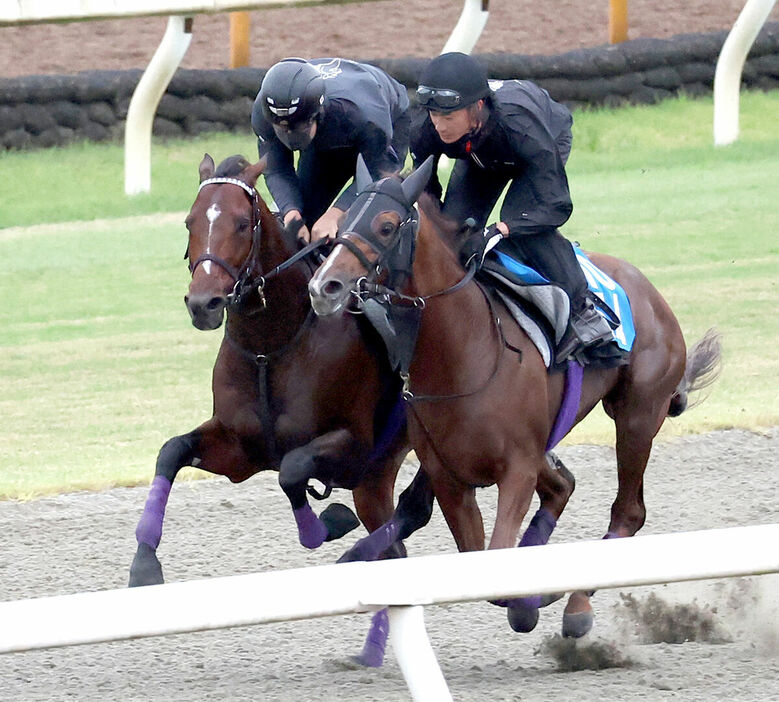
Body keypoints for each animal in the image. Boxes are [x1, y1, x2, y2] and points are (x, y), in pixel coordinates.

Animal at [126, 157, 414, 668]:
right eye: (190, 222)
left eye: (243, 223)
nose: (203, 304)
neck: (271, 345)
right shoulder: (240, 448)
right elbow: (171, 451)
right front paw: (144, 566)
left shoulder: (353, 444)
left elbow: (293, 470)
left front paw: (330, 522)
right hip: (375, 482)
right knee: (393, 547)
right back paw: (372, 650)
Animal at [308, 158, 724, 640]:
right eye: (342, 224)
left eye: (387, 226)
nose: (324, 287)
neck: (464, 350)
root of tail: (649, 290)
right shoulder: (451, 478)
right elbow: (484, 563)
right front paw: (531, 594)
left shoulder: (517, 470)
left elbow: (500, 564)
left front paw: (539, 597)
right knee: (564, 486)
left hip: (637, 415)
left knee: (628, 512)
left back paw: (578, 605)